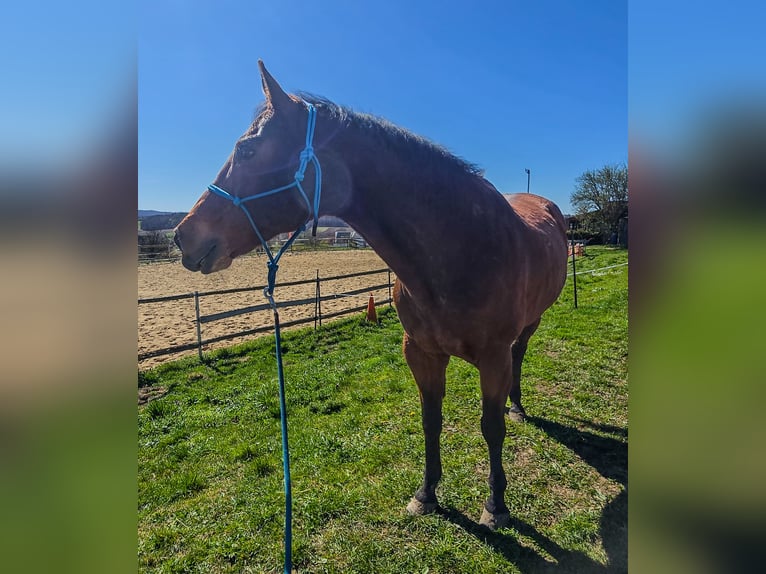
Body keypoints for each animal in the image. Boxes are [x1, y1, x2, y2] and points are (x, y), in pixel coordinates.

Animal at [174, 61, 568, 529]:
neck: (461, 247)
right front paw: (426, 493)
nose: (183, 236)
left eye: (248, 150)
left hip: (528, 326)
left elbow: (491, 428)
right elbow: (430, 420)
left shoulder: (493, 358)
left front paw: (496, 505)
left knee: (520, 356)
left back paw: (517, 406)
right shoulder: (420, 352)